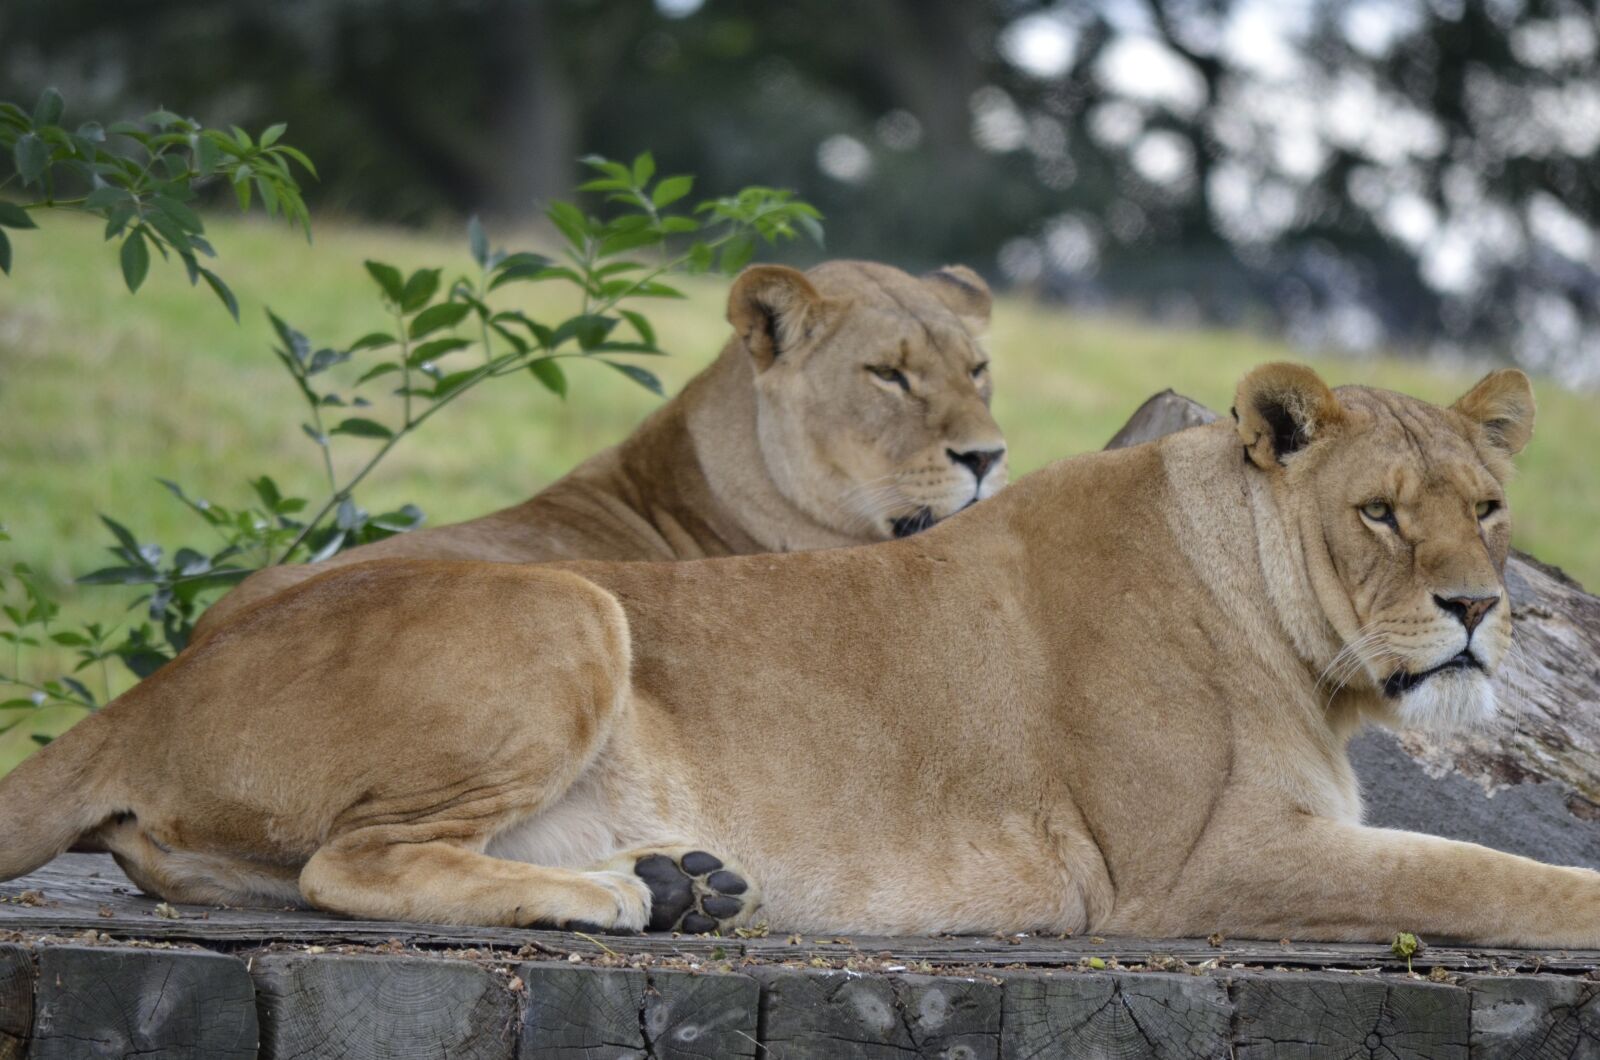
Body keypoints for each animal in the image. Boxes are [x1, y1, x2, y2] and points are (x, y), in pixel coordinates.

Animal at [5, 362, 1597, 947]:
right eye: (1379, 513)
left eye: (1487, 505)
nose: (1477, 609)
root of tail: (157, 683)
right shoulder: (1196, 869)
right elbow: (1479, 873)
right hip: (575, 606)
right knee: (352, 866)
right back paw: (626, 897)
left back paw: (680, 881)